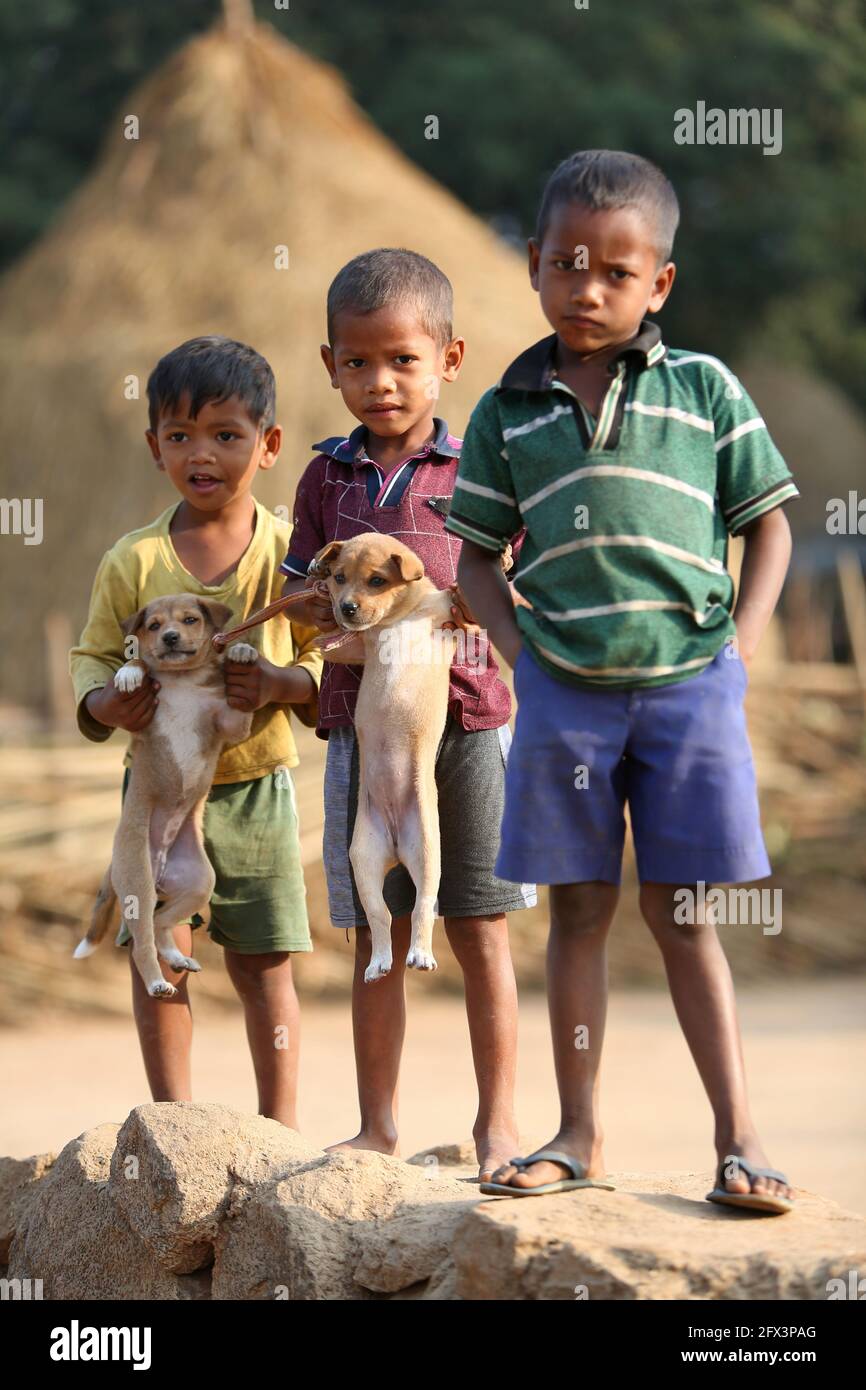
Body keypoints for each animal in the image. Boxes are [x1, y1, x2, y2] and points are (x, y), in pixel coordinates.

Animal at [73, 597, 257, 1000]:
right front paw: (130, 673)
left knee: (160, 923)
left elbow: (240, 703)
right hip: (137, 883)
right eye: (154, 625)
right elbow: (140, 661)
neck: (182, 679)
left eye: (190, 620)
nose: (171, 637)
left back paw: (176, 958)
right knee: (142, 942)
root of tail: (157, 870)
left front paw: (242, 651)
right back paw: (157, 982)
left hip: (199, 882)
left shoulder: (231, 722)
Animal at [309, 528, 461, 978]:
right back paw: (379, 962)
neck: (397, 619)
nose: (345, 608)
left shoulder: (447, 619)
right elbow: (335, 644)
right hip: (362, 859)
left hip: (427, 851)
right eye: (338, 577)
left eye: (376, 580)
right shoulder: (356, 645)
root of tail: (395, 842)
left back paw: (421, 955)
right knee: (381, 916)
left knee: (423, 908)